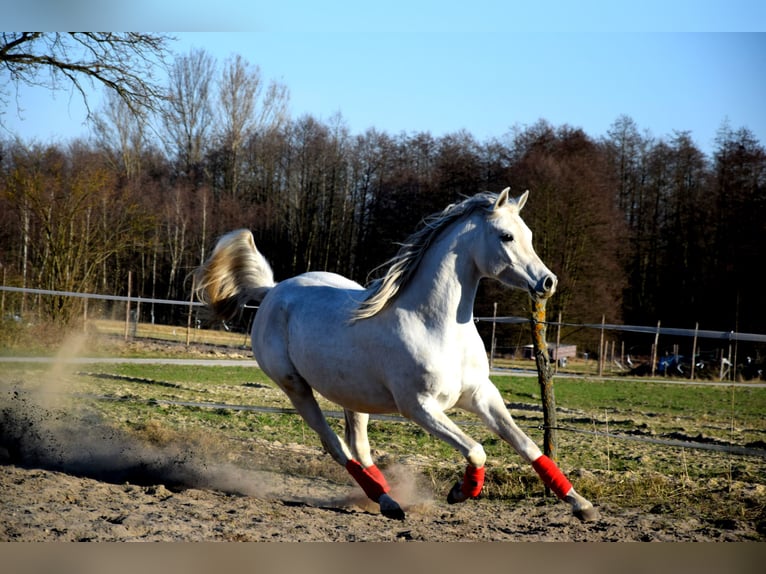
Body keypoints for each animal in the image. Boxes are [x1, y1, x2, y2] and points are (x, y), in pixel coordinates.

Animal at [194, 188, 598, 522]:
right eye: (506, 236)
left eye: (528, 235)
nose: (547, 282)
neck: (433, 324)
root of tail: (273, 291)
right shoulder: (419, 407)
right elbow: (476, 450)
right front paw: (460, 492)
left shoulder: (481, 395)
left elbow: (528, 445)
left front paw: (581, 505)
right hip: (295, 388)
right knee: (336, 446)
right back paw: (388, 502)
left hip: (352, 396)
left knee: (359, 447)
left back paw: (384, 498)